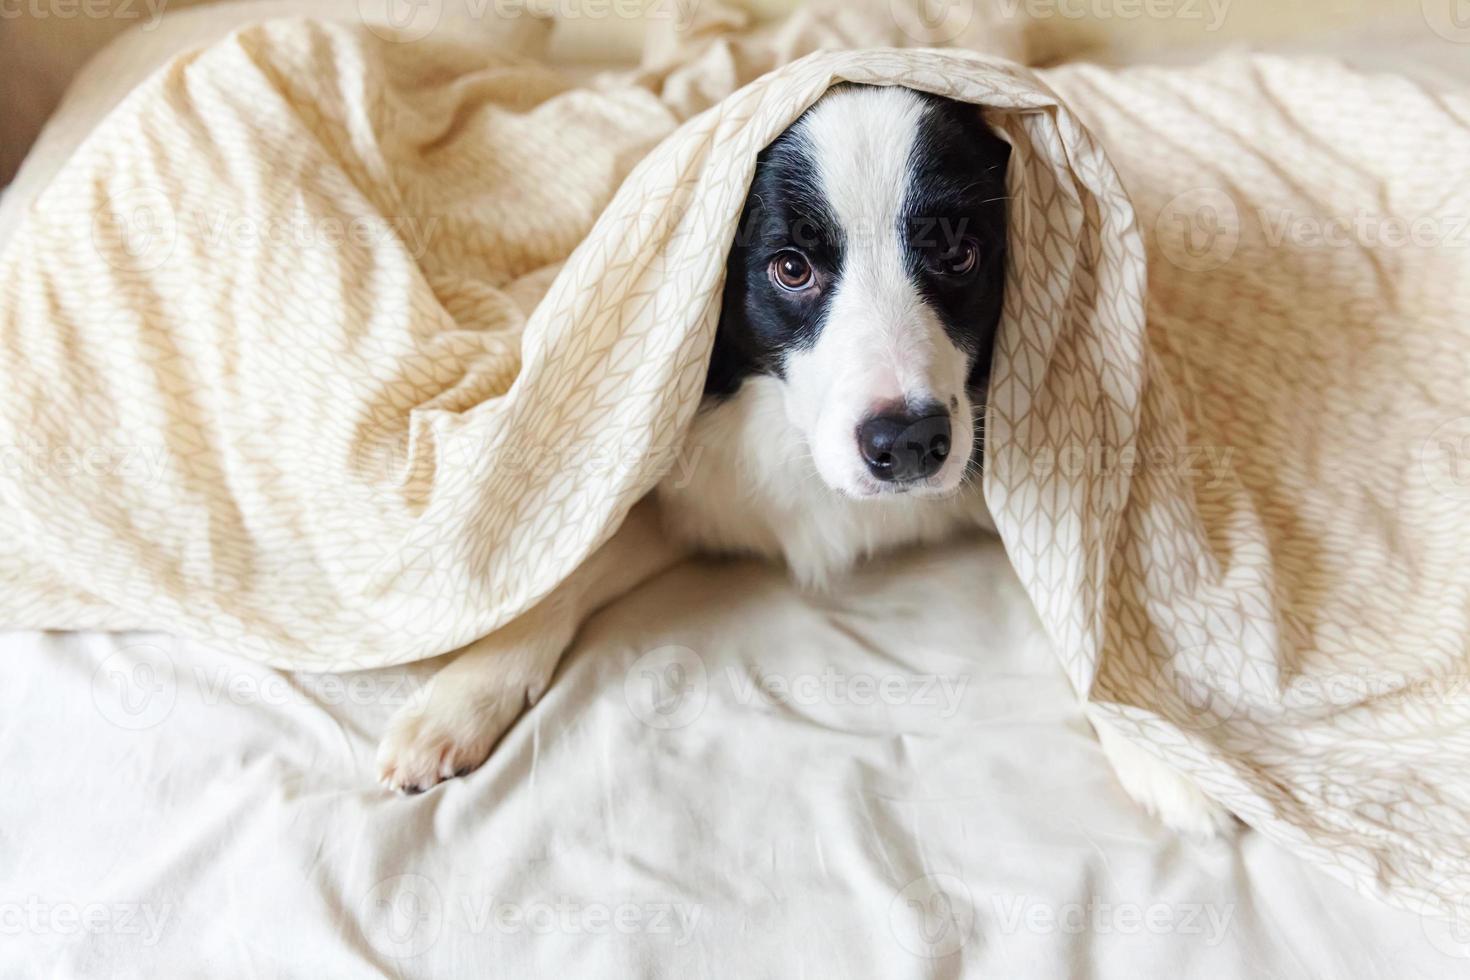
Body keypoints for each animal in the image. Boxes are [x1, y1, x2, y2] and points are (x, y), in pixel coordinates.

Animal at [379, 82, 1228, 834]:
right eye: (792, 267)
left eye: (959, 254)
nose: (909, 444)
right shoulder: (685, 482)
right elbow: (567, 571)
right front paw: (458, 698)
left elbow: (1069, 590)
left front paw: (1162, 751)